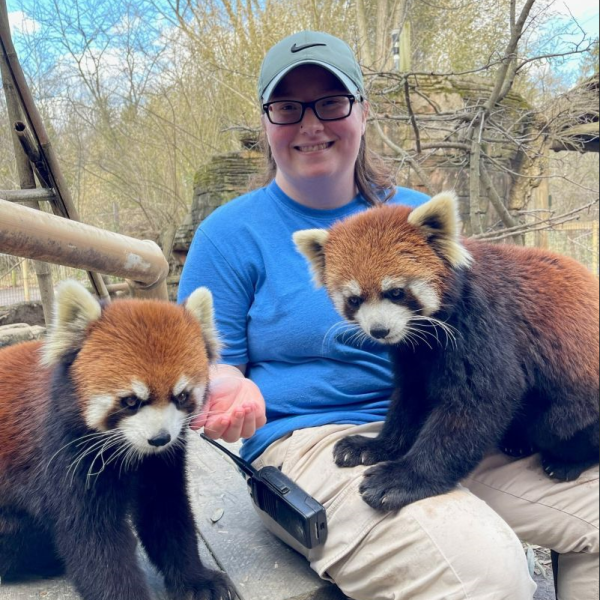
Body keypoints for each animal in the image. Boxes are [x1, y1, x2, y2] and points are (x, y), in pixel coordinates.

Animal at [0, 282, 233, 600]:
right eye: (131, 401)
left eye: (182, 396)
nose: (160, 438)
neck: (128, 452)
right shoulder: (63, 452)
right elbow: (93, 538)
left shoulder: (161, 462)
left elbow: (166, 511)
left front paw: (197, 580)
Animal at [294, 191, 600, 510]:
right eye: (354, 299)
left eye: (395, 292)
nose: (379, 330)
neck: (427, 334)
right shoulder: (414, 354)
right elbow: (411, 396)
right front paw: (375, 445)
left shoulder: (483, 322)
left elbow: (478, 401)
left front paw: (402, 479)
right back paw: (517, 442)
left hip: (575, 402)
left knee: (559, 426)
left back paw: (567, 462)